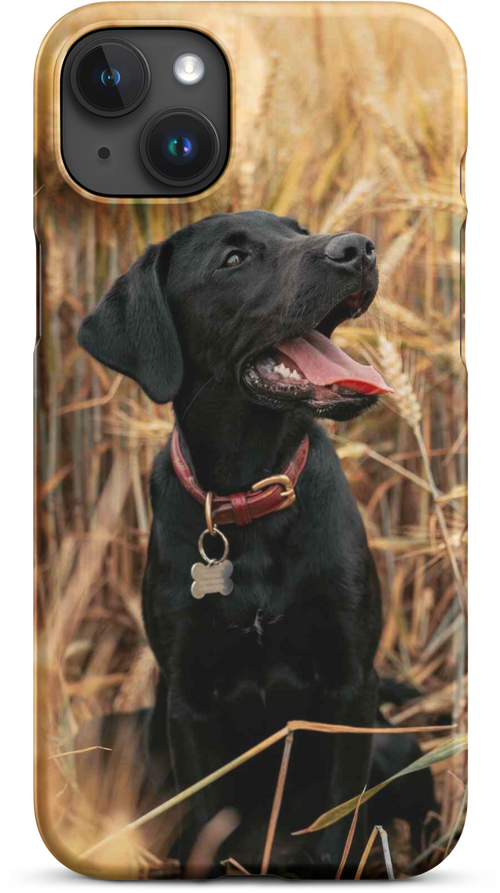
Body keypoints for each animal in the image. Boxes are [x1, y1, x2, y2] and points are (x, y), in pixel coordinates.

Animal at [79, 207, 398, 872]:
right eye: (233, 259)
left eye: (298, 231)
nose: (358, 249)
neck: (251, 496)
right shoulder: (188, 702)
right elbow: (205, 822)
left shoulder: (353, 684)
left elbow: (337, 821)